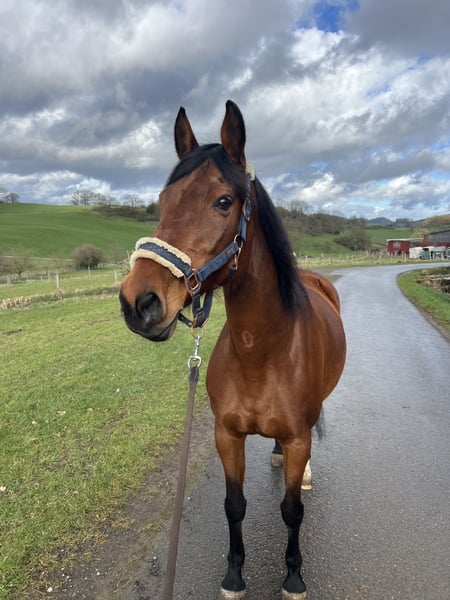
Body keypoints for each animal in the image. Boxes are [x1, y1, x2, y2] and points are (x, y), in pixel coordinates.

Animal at [119, 100, 346, 599]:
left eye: (223, 201)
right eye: (163, 200)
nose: (137, 302)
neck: (262, 351)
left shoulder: (299, 437)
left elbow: (292, 511)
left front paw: (294, 576)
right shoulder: (227, 435)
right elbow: (234, 505)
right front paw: (234, 575)